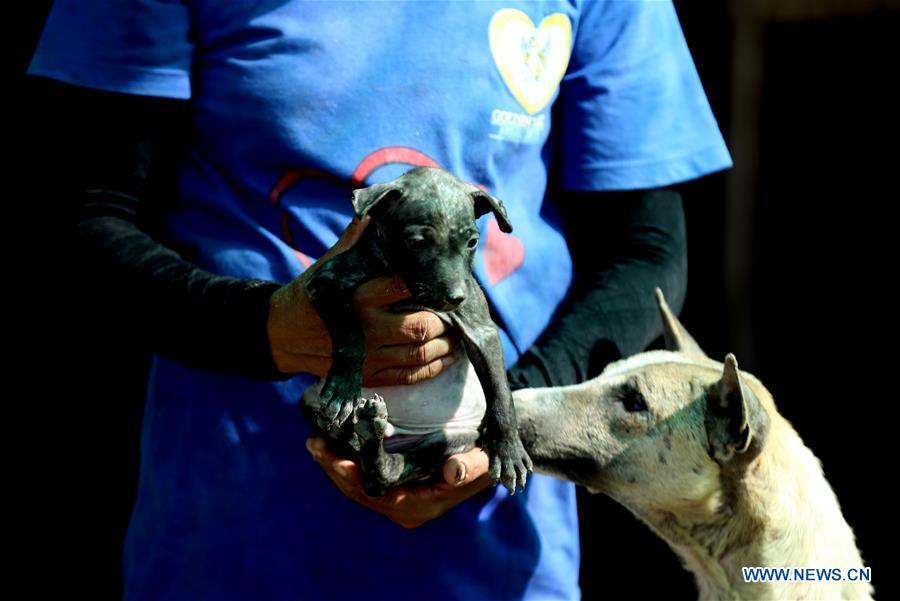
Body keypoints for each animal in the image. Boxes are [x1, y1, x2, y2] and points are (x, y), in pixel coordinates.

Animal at [298, 166, 532, 494]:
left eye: (472, 242)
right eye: (417, 242)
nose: (456, 297)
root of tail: (398, 436)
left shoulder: (481, 331)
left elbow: (500, 393)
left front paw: (508, 449)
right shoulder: (325, 281)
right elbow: (349, 334)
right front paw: (344, 389)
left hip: (450, 440)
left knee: (391, 472)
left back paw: (374, 437)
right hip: (311, 402)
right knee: (371, 470)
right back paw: (365, 428)